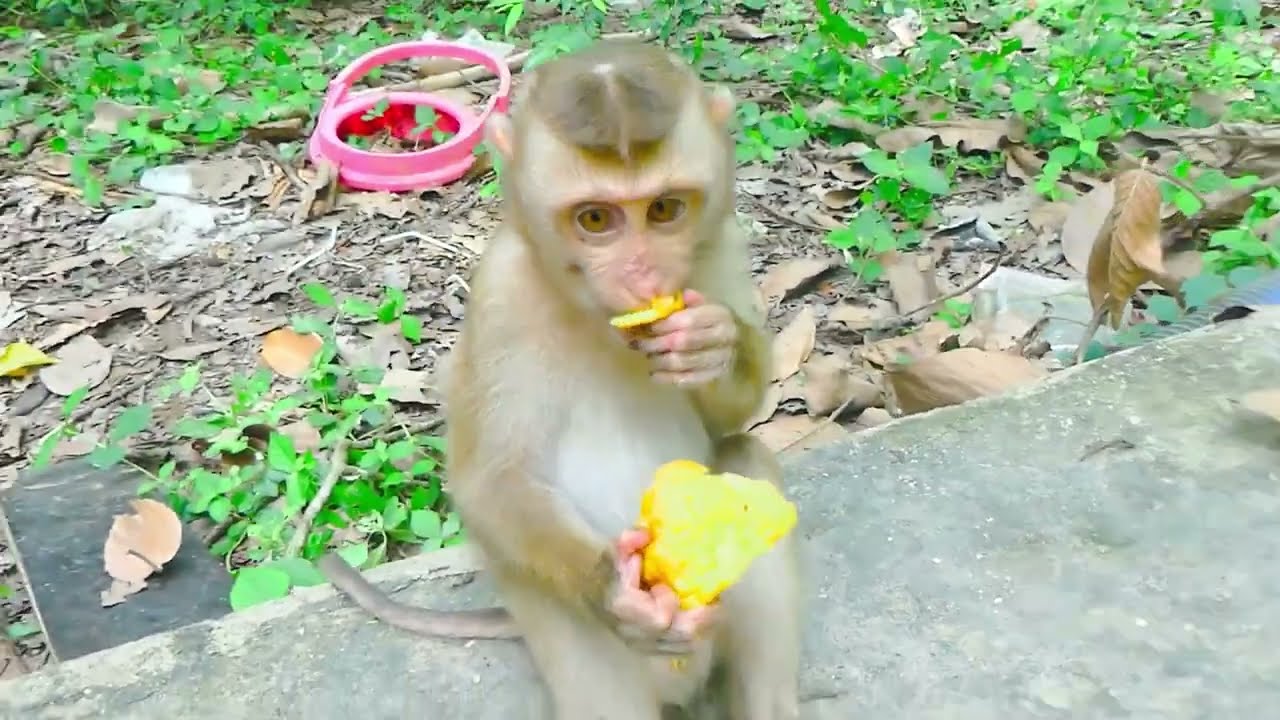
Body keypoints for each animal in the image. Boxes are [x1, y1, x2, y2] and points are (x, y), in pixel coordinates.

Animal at [316, 38, 802, 720]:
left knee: (744, 464)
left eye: (665, 209)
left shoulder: (721, 246)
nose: (643, 276)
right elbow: (491, 480)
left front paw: (713, 345)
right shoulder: (501, 297)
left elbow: (733, 417)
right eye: (595, 220)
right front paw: (612, 588)